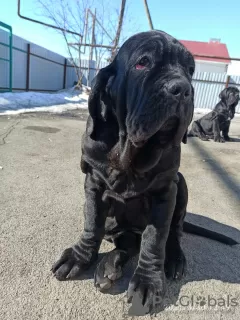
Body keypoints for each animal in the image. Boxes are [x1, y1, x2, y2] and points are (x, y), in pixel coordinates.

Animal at [51, 30, 238, 316]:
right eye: (143, 63)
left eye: (190, 70)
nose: (183, 89)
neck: (129, 150)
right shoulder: (93, 182)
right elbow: (92, 224)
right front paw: (80, 256)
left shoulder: (165, 191)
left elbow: (155, 238)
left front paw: (148, 282)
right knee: (125, 242)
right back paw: (109, 266)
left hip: (181, 185)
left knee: (173, 232)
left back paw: (173, 260)